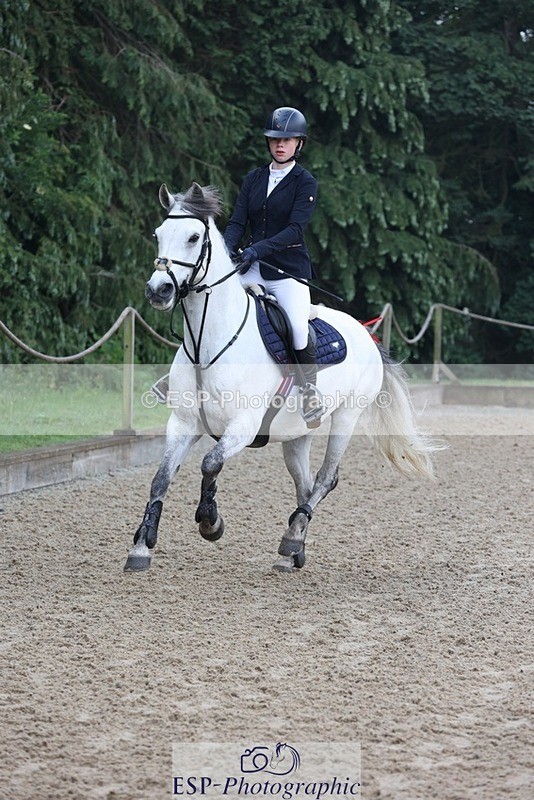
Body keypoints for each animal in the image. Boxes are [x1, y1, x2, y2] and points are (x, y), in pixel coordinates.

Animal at [124, 182, 439, 573]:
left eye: (194, 237)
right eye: (158, 235)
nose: (159, 290)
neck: (207, 345)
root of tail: (366, 332)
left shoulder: (243, 426)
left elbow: (210, 463)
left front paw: (211, 522)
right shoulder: (182, 423)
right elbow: (161, 478)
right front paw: (141, 546)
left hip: (347, 417)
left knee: (326, 479)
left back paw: (292, 539)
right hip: (297, 434)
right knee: (304, 485)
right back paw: (294, 548)